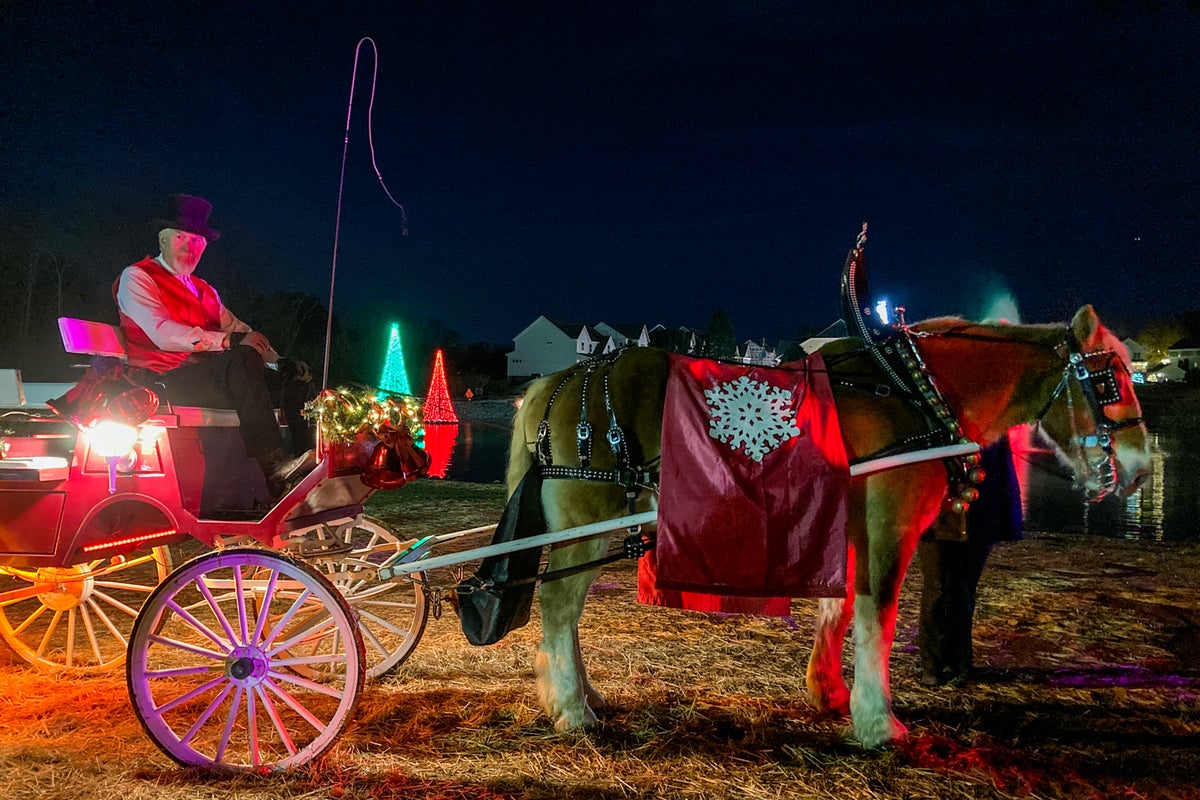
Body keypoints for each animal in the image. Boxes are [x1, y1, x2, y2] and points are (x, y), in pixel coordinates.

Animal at [504, 303, 1152, 748]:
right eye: (1111, 379)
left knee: (569, 609)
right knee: (558, 604)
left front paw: (830, 692)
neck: (915, 389)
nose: (1142, 468)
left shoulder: (847, 525)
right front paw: (878, 721)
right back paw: (571, 709)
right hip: (588, 519)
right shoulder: (891, 522)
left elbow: (839, 609)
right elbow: (878, 613)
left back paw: (578, 693)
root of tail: (554, 383)